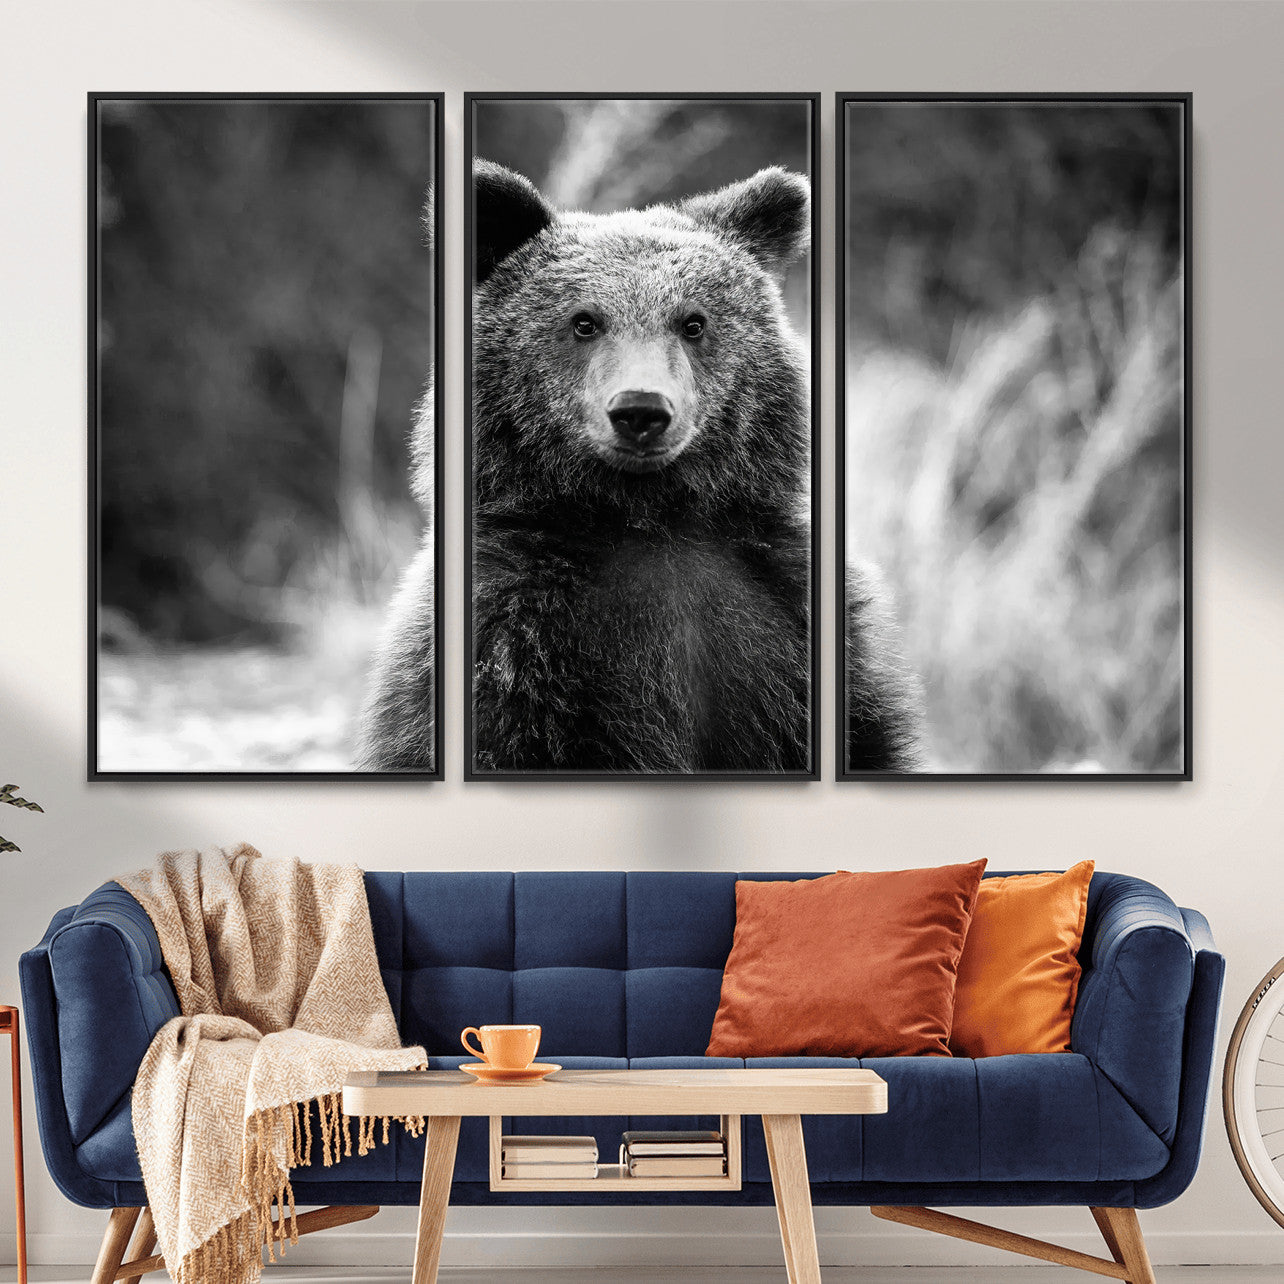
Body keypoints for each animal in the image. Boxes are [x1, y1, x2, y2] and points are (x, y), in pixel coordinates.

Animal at [358, 161, 920, 774]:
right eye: (584, 322)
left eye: (693, 322)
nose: (641, 410)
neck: (647, 516)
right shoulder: (515, 636)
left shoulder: (786, 616)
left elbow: (865, 735)